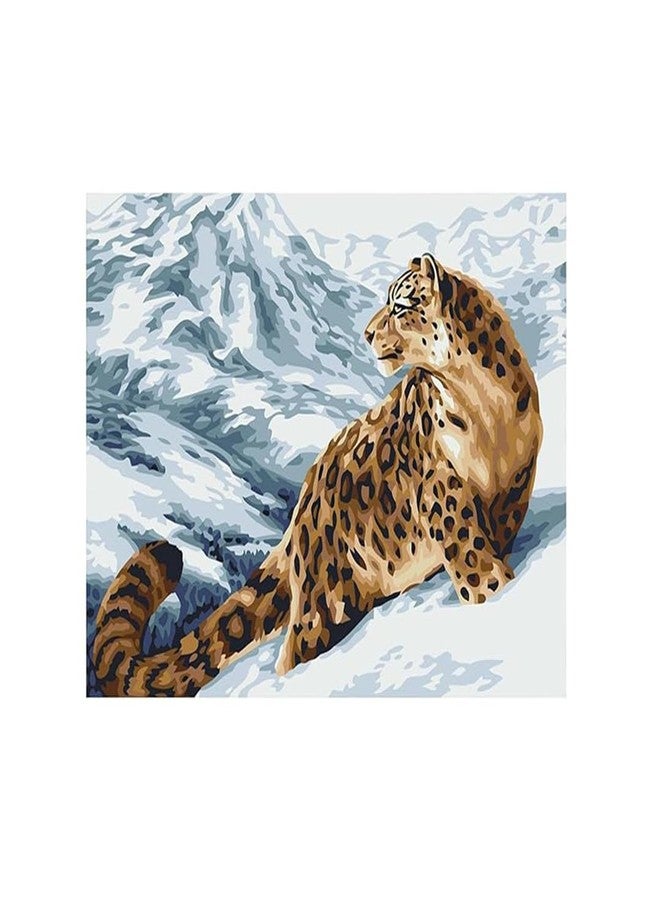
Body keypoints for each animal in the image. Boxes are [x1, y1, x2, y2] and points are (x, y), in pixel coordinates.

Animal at [92, 253, 542, 696]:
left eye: (400, 306)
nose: (366, 333)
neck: (483, 405)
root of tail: (303, 504)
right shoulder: (443, 495)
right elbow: (472, 560)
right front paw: (495, 592)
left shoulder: (515, 486)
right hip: (326, 599)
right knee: (296, 650)